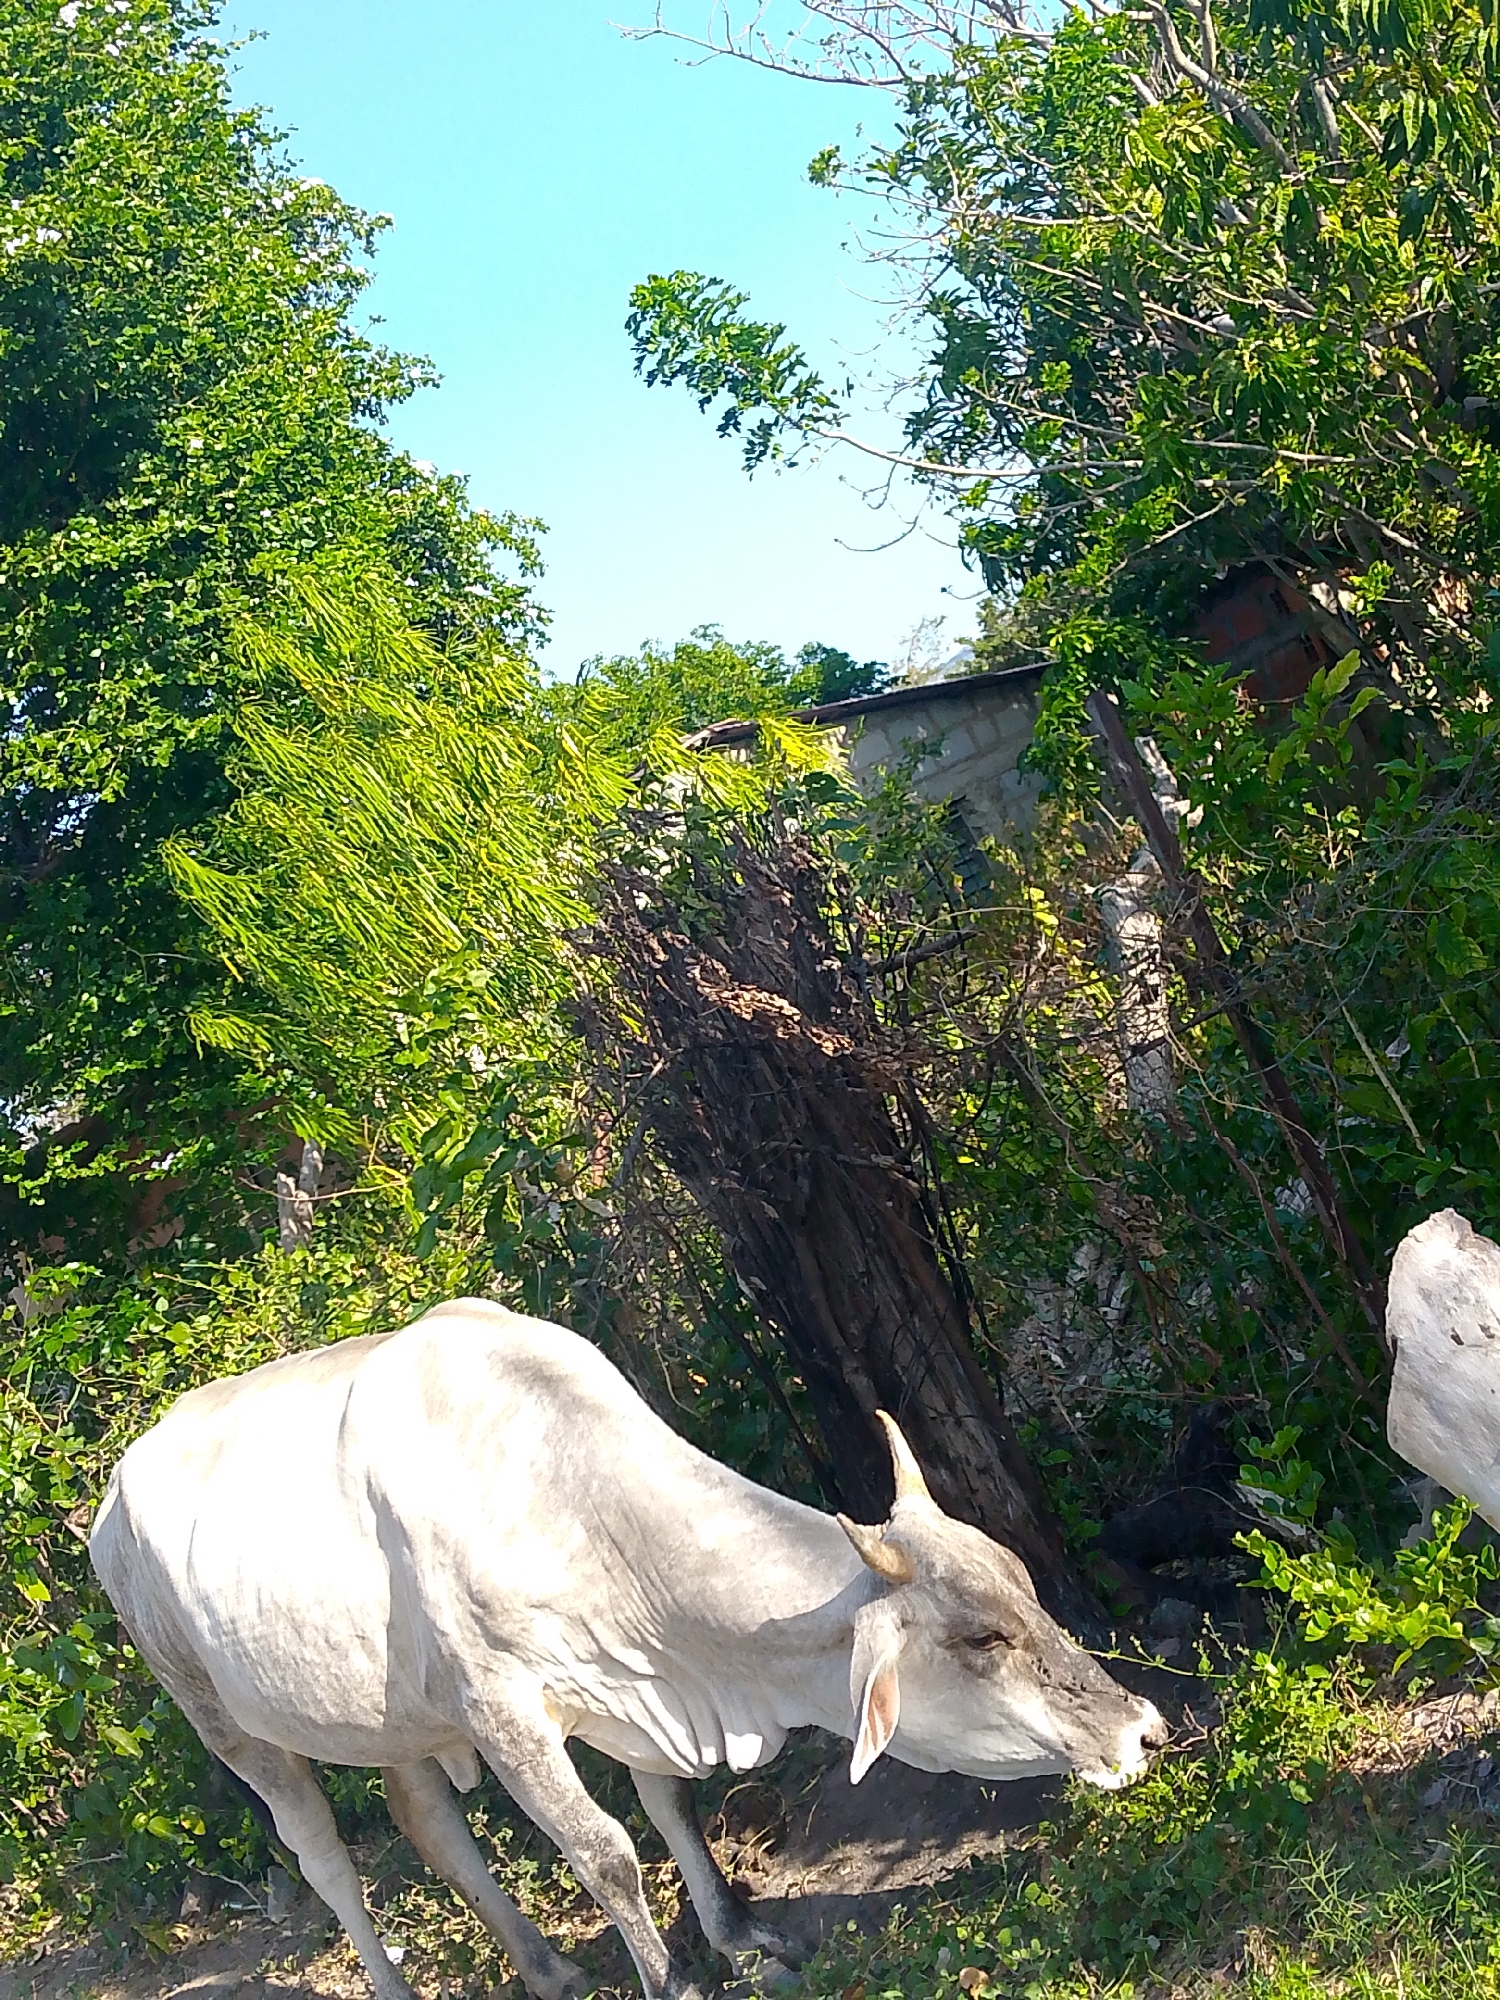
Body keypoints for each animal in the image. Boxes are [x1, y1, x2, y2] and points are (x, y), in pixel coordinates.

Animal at [91, 1299, 1165, 2000]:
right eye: (982, 1637)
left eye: (1026, 1588)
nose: (1143, 1730)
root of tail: (109, 1497)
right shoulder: (504, 1712)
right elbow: (606, 1851)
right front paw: (675, 1980)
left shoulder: (631, 1693)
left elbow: (671, 1807)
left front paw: (741, 1938)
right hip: (226, 1724)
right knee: (324, 1863)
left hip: (395, 1716)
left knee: (427, 1820)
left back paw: (549, 1968)